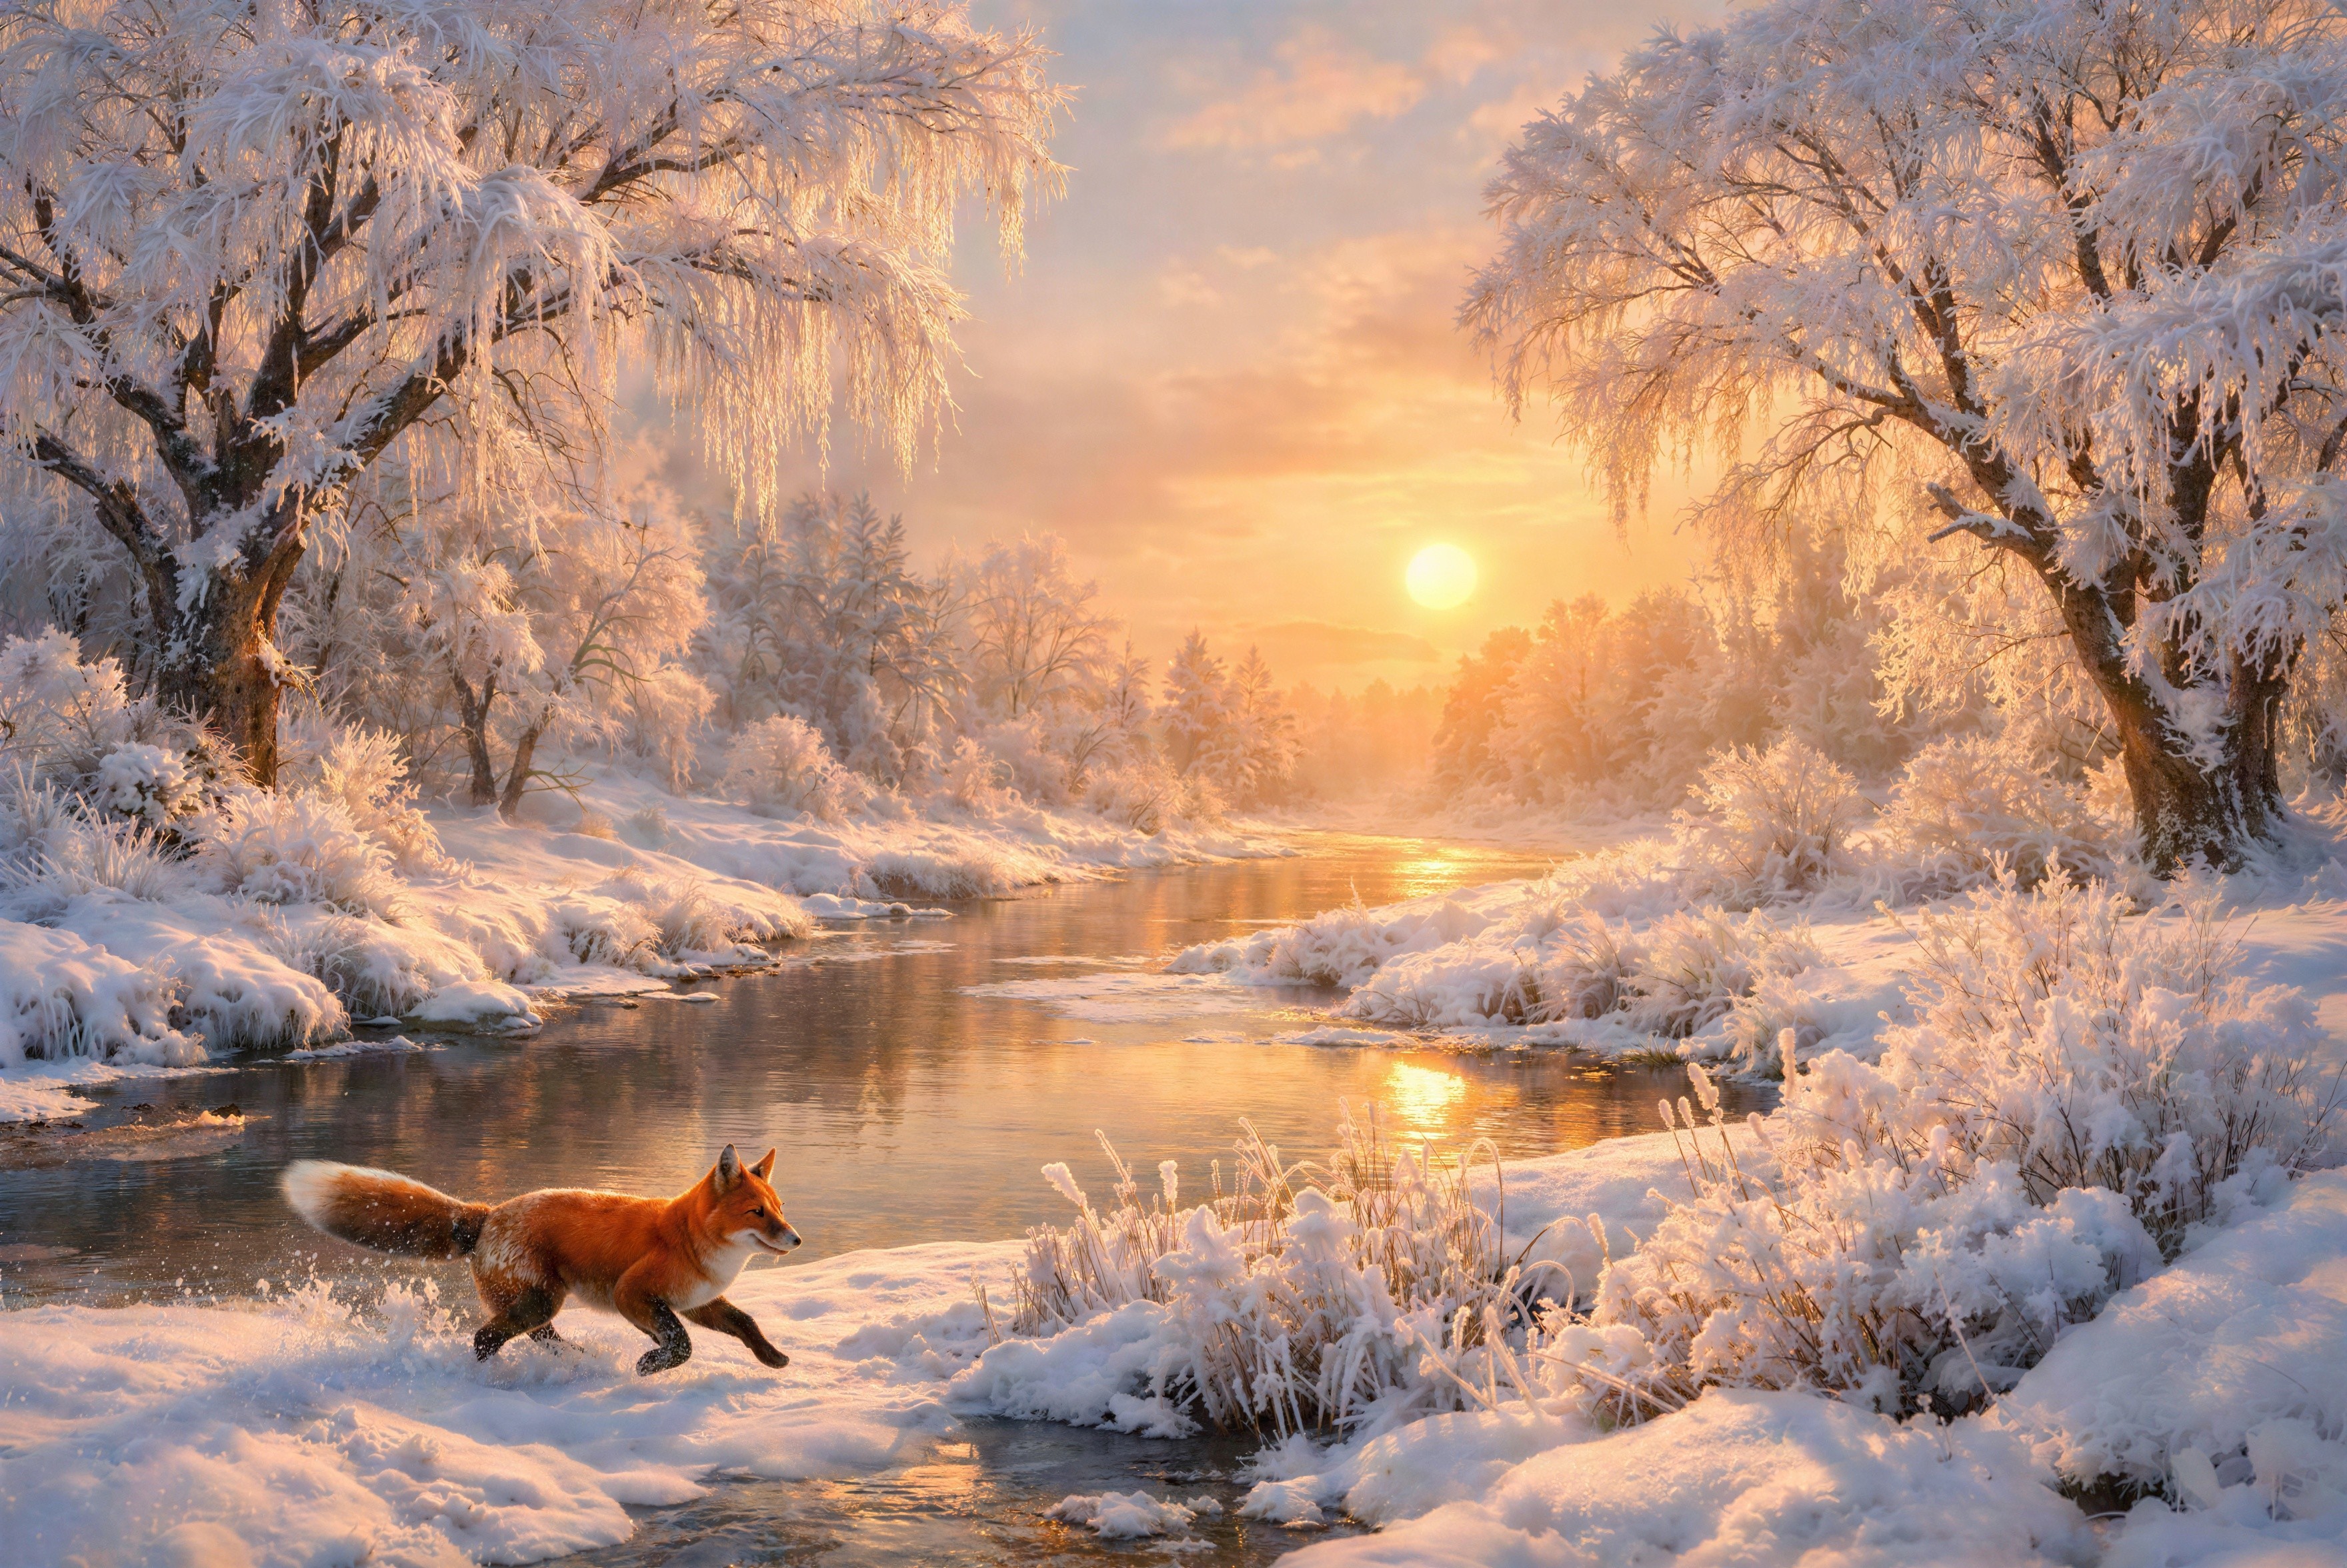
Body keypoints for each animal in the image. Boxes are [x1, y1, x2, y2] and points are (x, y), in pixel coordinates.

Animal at [282, 1144, 802, 1375]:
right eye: (756, 1212)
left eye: (780, 1207)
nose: (796, 1240)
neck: (689, 1242)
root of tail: (488, 1214)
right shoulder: (631, 1293)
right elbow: (682, 1345)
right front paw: (649, 1365)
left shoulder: (697, 1302)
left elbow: (746, 1323)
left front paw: (773, 1358)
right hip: (541, 1300)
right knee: (487, 1336)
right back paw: (489, 1379)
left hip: (540, 1302)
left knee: (538, 1337)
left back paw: (576, 1360)